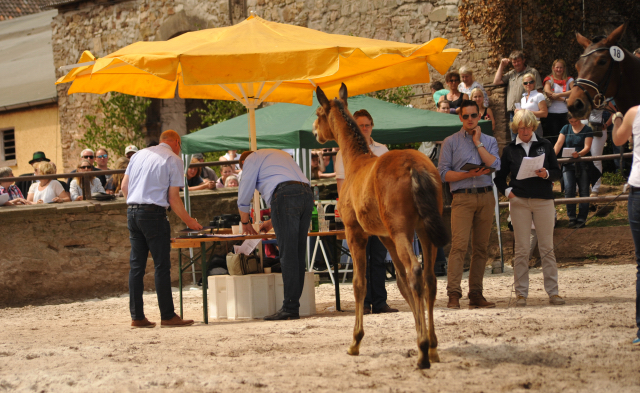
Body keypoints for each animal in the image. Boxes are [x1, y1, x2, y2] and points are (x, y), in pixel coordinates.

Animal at [312, 83, 448, 368]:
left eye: (319, 113)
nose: (314, 131)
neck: (356, 163)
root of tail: (414, 166)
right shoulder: (385, 237)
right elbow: (400, 282)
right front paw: (420, 334)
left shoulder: (356, 233)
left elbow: (359, 284)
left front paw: (355, 341)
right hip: (422, 232)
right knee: (429, 279)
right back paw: (431, 346)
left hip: (403, 232)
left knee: (416, 272)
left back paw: (423, 352)